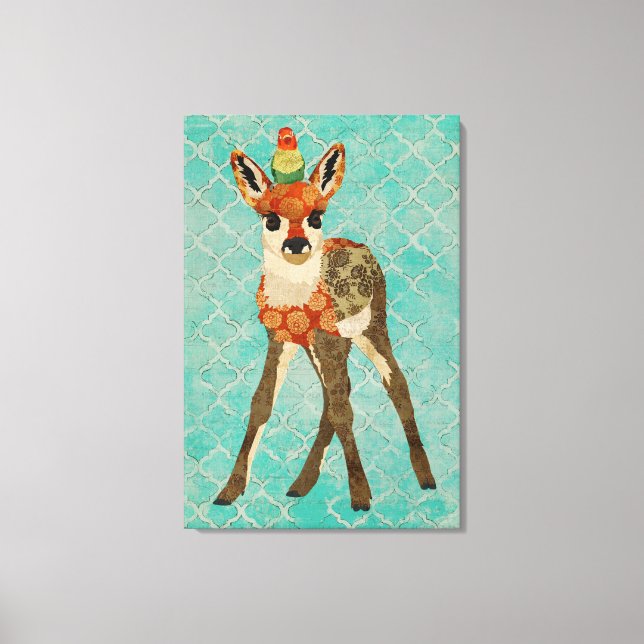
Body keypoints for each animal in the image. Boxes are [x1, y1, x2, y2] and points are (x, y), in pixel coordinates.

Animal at [213, 140, 436, 511]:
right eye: (270, 218)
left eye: (315, 216)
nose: (296, 244)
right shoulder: (280, 339)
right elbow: (261, 403)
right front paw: (229, 491)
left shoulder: (325, 340)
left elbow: (343, 410)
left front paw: (360, 496)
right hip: (327, 345)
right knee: (337, 394)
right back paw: (300, 484)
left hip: (370, 327)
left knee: (395, 383)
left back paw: (426, 477)